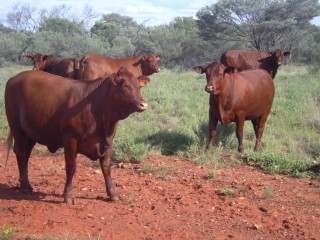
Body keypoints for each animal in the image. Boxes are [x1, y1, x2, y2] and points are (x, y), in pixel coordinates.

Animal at [5, 66, 149, 203]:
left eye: (138, 86)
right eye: (125, 86)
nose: (143, 104)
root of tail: (13, 78)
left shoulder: (108, 141)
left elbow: (106, 167)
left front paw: (113, 195)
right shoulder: (70, 139)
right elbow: (71, 167)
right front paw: (68, 195)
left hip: (30, 133)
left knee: (26, 155)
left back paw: (26, 184)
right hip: (17, 128)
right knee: (21, 153)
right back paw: (25, 187)